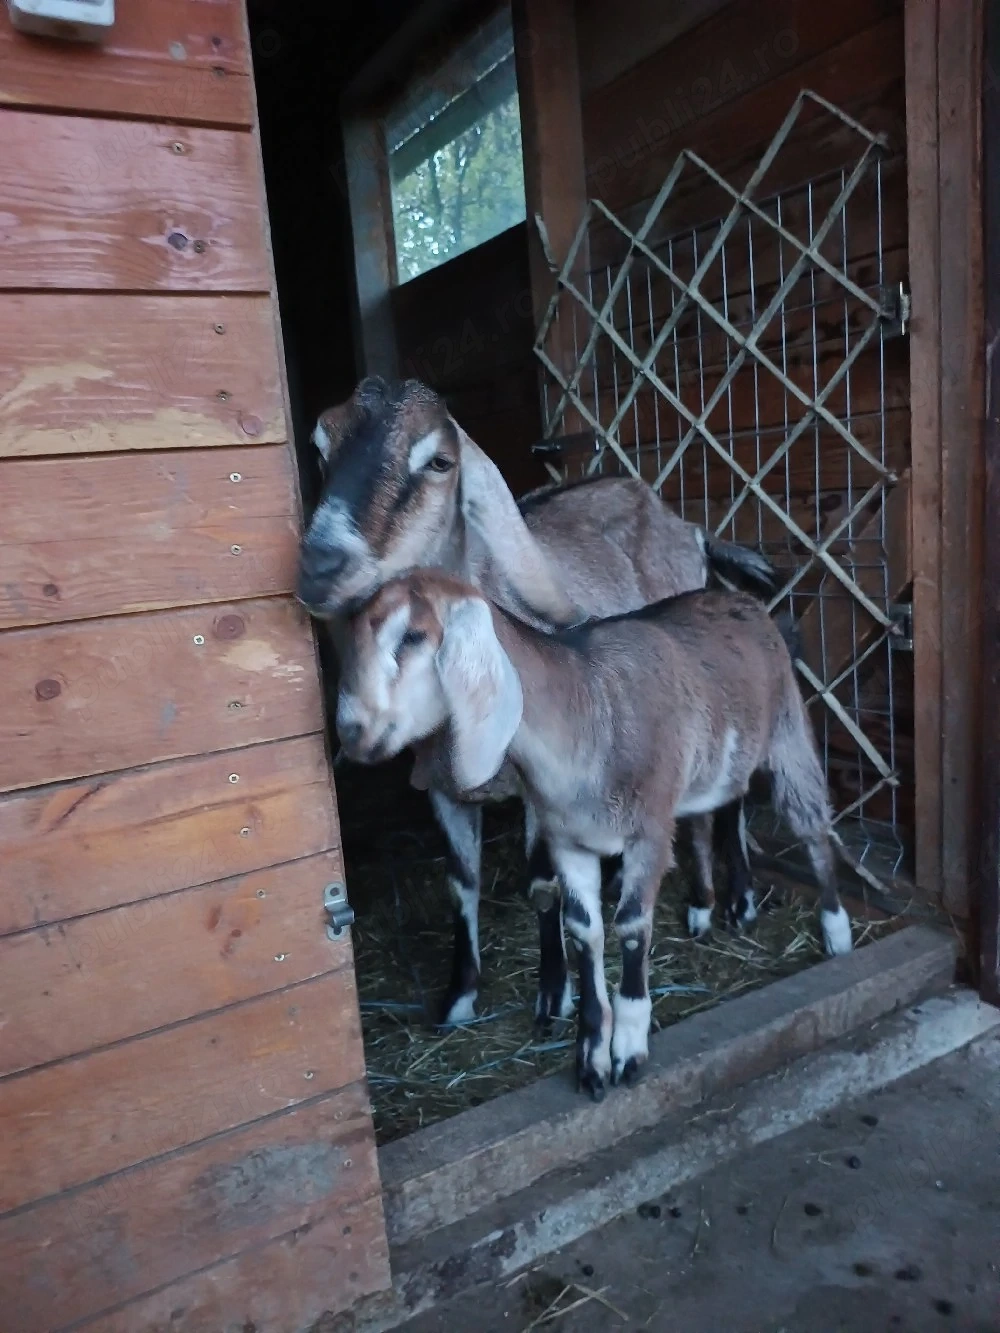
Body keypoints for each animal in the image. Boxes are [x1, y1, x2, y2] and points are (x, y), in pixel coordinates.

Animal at [297, 375, 778, 1025]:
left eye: (440, 462)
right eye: (322, 446)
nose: (320, 566)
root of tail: (685, 526)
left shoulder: (543, 782)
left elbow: (542, 884)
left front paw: (555, 994)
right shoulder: (443, 789)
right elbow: (462, 882)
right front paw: (459, 995)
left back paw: (733, 901)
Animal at [335, 571, 853, 1098]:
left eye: (413, 636)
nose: (350, 730)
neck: (585, 716)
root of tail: (740, 598)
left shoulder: (647, 833)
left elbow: (631, 927)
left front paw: (628, 1049)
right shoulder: (569, 842)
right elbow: (585, 931)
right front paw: (592, 1058)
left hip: (788, 735)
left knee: (812, 827)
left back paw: (835, 932)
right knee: (718, 810)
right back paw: (707, 907)